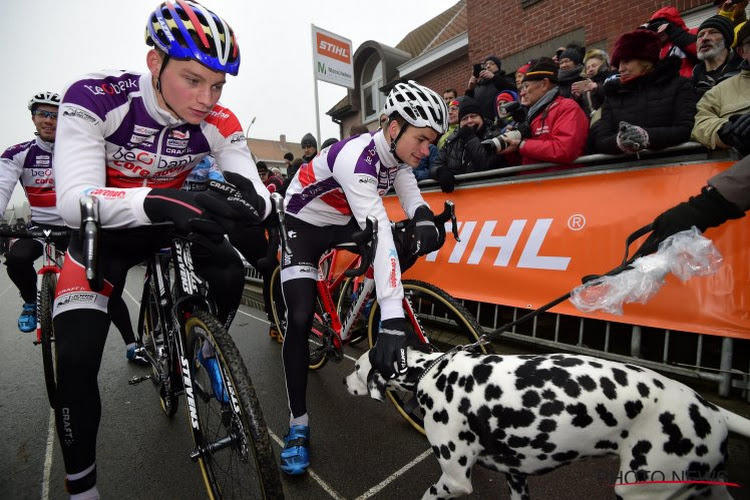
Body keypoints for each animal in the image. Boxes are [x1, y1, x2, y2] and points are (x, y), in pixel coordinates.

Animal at [346, 348, 750, 500]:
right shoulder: (516, 477)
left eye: (357, 366)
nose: (344, 378)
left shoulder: (455, 481)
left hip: (643, 491)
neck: (433, 372)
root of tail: (712, 408)